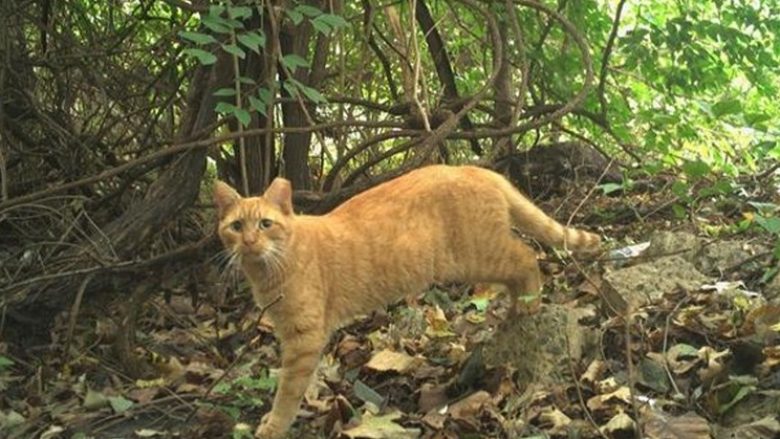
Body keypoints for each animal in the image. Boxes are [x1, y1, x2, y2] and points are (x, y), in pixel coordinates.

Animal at [210, 166, 600, 439]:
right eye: (236, 226)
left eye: (265, 224)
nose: (248, 242)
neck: (271, 266)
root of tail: (472, 167)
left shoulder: (303, 339)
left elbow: (288, 391)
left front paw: (274, 426)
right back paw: (517, 310)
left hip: (480, 255)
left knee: (528, 257)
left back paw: (530, 305)